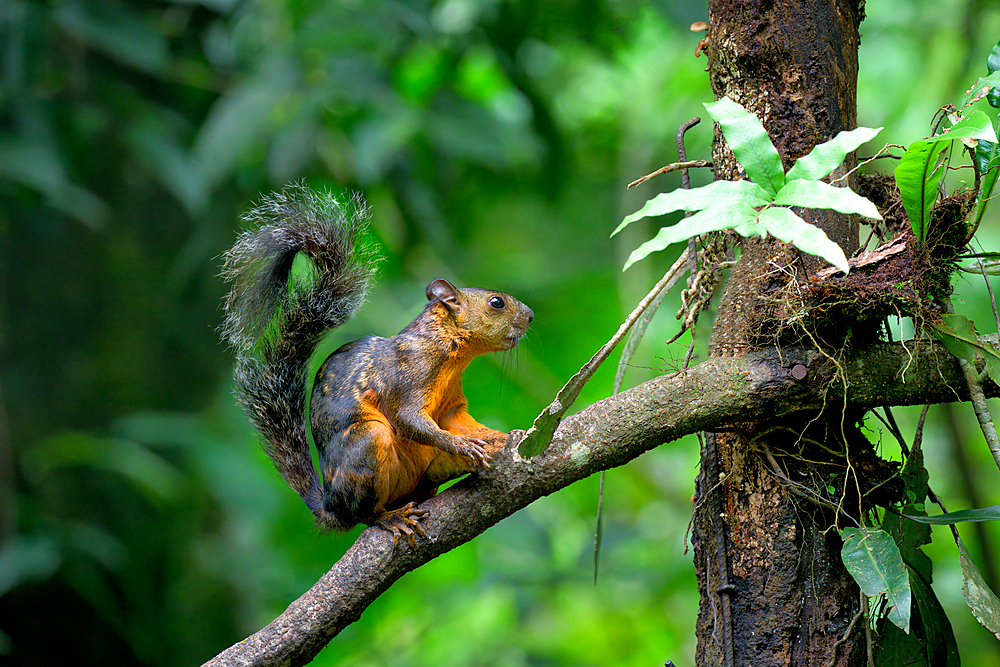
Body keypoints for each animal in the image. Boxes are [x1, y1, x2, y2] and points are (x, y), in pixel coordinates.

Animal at [219, 184, 532, 548]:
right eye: (497, 303)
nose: (530, 316)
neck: (449, 353)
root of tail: (330, 507)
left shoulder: (452, 403)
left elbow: (461, 422)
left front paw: (502, 436)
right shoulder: (408, 376)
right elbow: (410, 419)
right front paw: (461, 443)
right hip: (366, 447)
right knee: (365, 514)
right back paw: (390, 518)